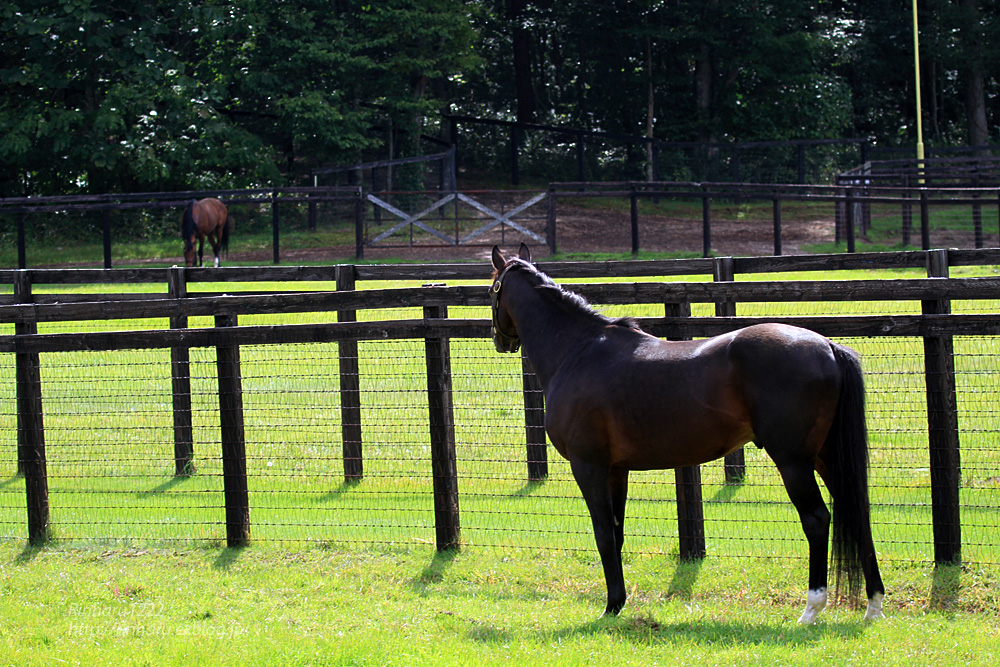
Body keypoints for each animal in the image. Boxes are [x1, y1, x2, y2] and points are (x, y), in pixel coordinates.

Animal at [488, 245, 888, 628]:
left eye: (492, 289)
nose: (499, 341)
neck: (579, 351)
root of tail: (828, 347)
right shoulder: (617, 470)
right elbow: (617, 533)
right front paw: (619, 603)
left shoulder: (589, 467)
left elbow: (603, 533)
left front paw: (611, 606)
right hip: (825, 457)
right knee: (857, 511)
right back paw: (873, 605)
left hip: (794, 462)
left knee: (817, 520)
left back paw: (811, 609)